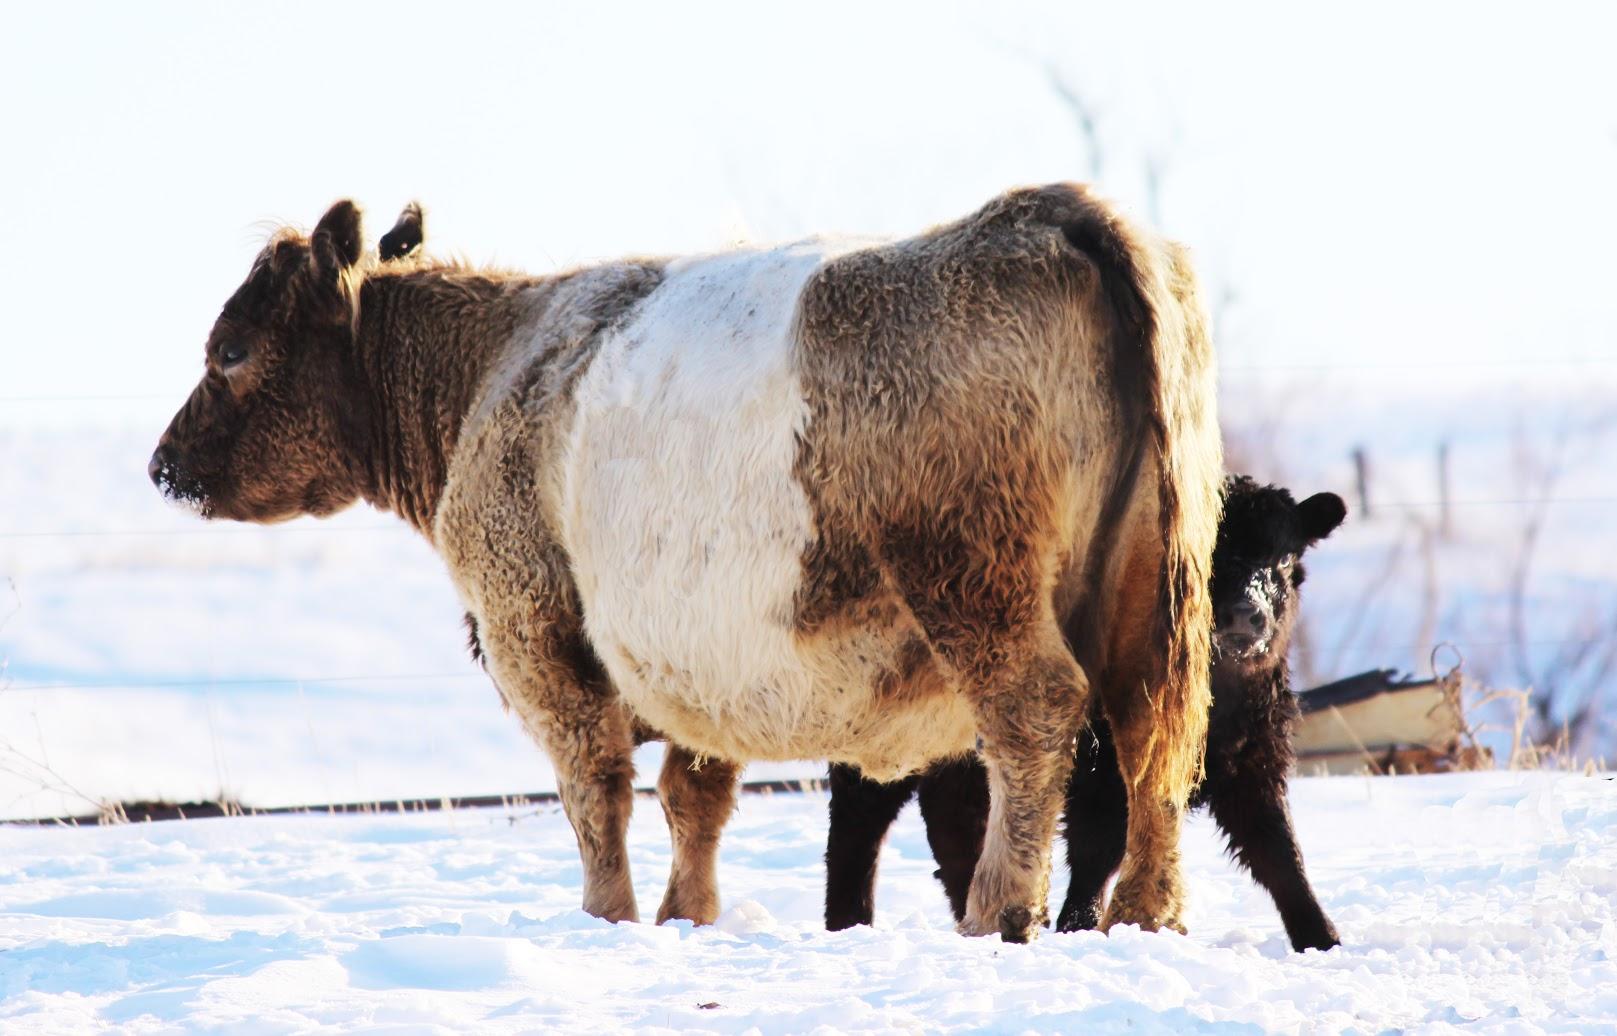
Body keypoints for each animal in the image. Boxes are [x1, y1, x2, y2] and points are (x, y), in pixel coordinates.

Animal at [151, 185, 1215, 937]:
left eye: (230, 348)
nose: (164, 465)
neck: (494, 366)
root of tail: (1039, 211)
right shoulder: (701, 658)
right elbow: (692, 794)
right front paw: (685, 917)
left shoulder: (533, 631)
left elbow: (595, 786)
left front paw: (609, 917)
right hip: (1152, 594)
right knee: (1152, 731)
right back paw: (1145, 912)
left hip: (972, 581)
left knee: (1034, 711)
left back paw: (1002, 906)